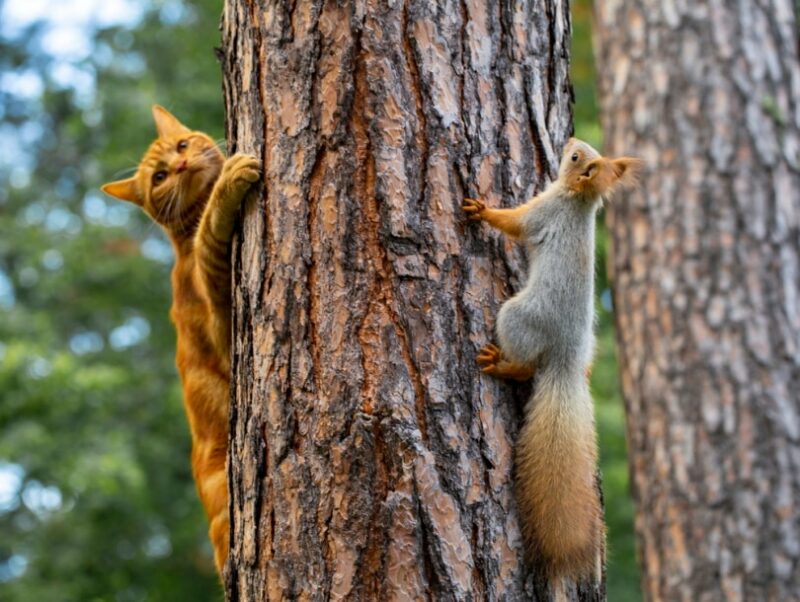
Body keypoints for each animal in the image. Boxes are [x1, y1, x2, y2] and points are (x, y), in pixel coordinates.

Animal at [101, 105, 260, 568]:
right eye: (159, 177)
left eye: (183, 145)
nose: (181, 165)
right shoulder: (224, 332)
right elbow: (210, 236)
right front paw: (227, 187)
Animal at [460, 139, 640, 580]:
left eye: (575, 158)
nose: (569, 142)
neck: (579, 200)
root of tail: (567, 360)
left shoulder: (542, 211)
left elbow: (514, 223)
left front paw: (482, 210)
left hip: (518, 315)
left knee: (526, 365)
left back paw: (502, 364)